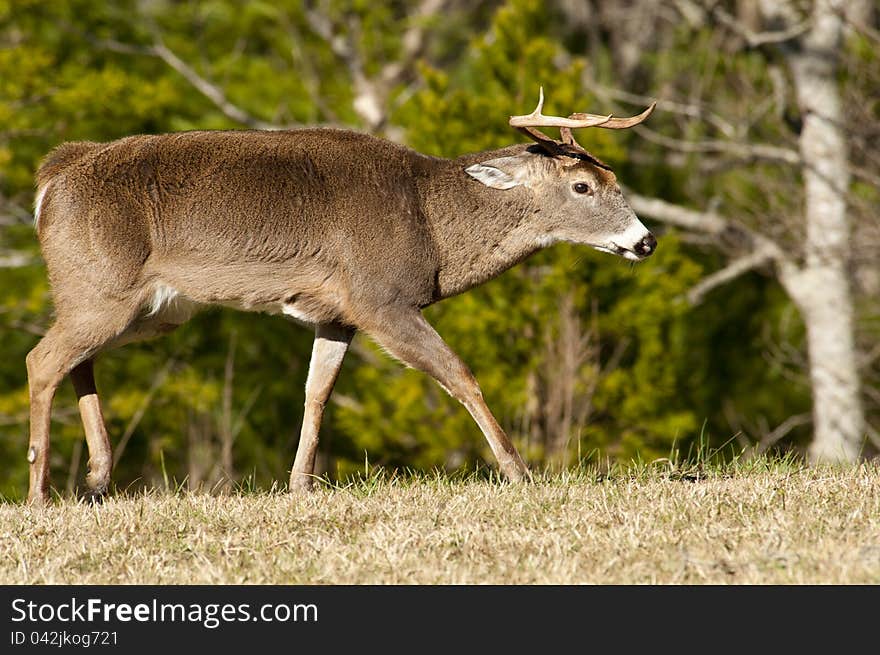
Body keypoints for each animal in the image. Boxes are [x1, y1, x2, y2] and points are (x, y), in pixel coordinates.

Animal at [25, 89, 652, 504]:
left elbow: (317, 392)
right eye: (583, 186)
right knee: (41, 360)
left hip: (141, 305)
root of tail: (53, 176)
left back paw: (98, 478)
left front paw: (300, 485)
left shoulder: (337, 314)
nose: (644, 241)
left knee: (76, 362)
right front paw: (518, 471)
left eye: (616, 180)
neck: (432, 224)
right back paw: (40, 492)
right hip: (101, 287)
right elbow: (460, 374)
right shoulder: (382, 297)